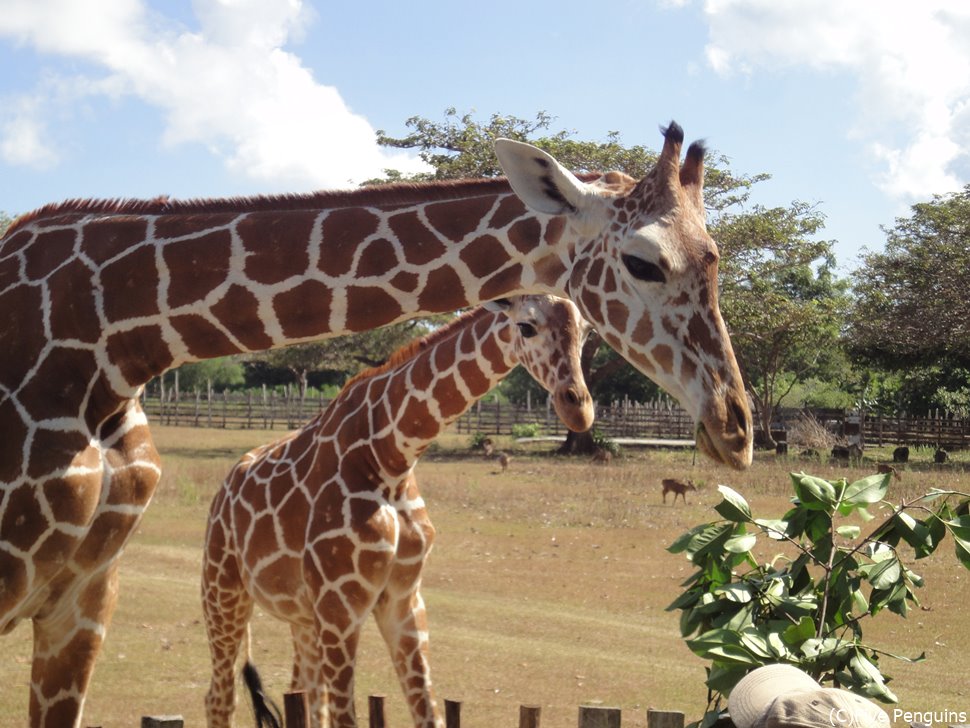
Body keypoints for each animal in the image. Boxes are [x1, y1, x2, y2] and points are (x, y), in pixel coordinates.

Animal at [200, 292, 588, 724]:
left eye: (586, 331)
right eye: (526, 326)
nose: (579, 408)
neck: (391, 458)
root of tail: (225, 488)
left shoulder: (404, 600)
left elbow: (429, 714)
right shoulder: (341, 606)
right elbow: (346, 717)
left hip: (302, 617)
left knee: (305, 695)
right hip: (222, 590)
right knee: (220, 697)